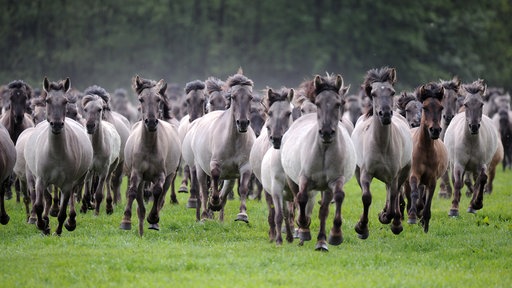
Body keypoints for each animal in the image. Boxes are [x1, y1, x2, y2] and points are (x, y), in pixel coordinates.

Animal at [24, 77, 93, 235]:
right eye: (48, 100)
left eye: (65, 101)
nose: (56, 125)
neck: (56, 153)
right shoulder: (41, 180)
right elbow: (39, 205)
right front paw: (42, 224)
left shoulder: (67, 184)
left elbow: (63, 211)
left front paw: (59, 230)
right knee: (48, 198)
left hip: (78, 179)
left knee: (72, 196)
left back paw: (71, 222)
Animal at [280, 73, 356, 250]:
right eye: (318, 103)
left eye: (338, 103)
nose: (326, 132)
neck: (324, 150)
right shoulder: (304, 178)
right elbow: (301, 199)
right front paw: (303, 229)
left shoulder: (334, 181)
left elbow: (332, 204)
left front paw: (332, 237)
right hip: (292, 179)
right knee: (297, 199)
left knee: (322, 207)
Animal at [352, 67, 412, 238]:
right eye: (373, 94)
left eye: (392, 92)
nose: (385, 114)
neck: (381, 145)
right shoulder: (366, 172)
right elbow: (366, 197)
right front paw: (361, 228)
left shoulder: (394, 174)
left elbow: (393, 197)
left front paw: (387, 218)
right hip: (358, 172)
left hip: (404, 171)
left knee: (395, 192)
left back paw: (395, 222)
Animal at [402, 82, 446, 232]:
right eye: (425, 108)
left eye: (441, 108)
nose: (435, 130)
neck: (426, 150)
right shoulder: (414, 174)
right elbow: (414, 193)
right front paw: (412, 217)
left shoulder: (432, 179)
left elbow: (428, 201)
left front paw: (425, 224)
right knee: (410, 194)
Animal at [446, 79, 498, 216]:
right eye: (466, 104)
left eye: (481, 104)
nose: (474, 127)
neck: (471, 142)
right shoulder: (459, 164)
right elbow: (458, 183)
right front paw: (453, 209)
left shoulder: (482, 165)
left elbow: (482, 180)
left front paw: (477, 204)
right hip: (454, 163)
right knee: (457, 181)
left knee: (476, 182)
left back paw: (471, 206)